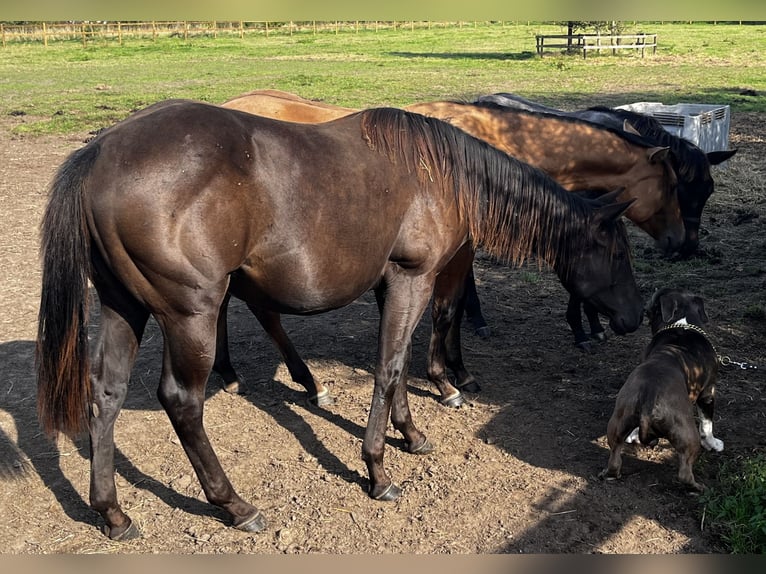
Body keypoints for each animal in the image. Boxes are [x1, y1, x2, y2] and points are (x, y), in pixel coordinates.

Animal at [37, 102, 648, 540]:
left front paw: (411, 433)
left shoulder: (394, 285)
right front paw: (378, 470)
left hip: (125, 308)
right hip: (190, 316)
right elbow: (388, 367)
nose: (634, 319)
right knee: (182, 402)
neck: (438, 174)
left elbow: (399, 364)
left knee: (105, 395)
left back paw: (112, 513)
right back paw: (235, 505)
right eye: (619, 253)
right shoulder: (412, 278)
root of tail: (100, 154)